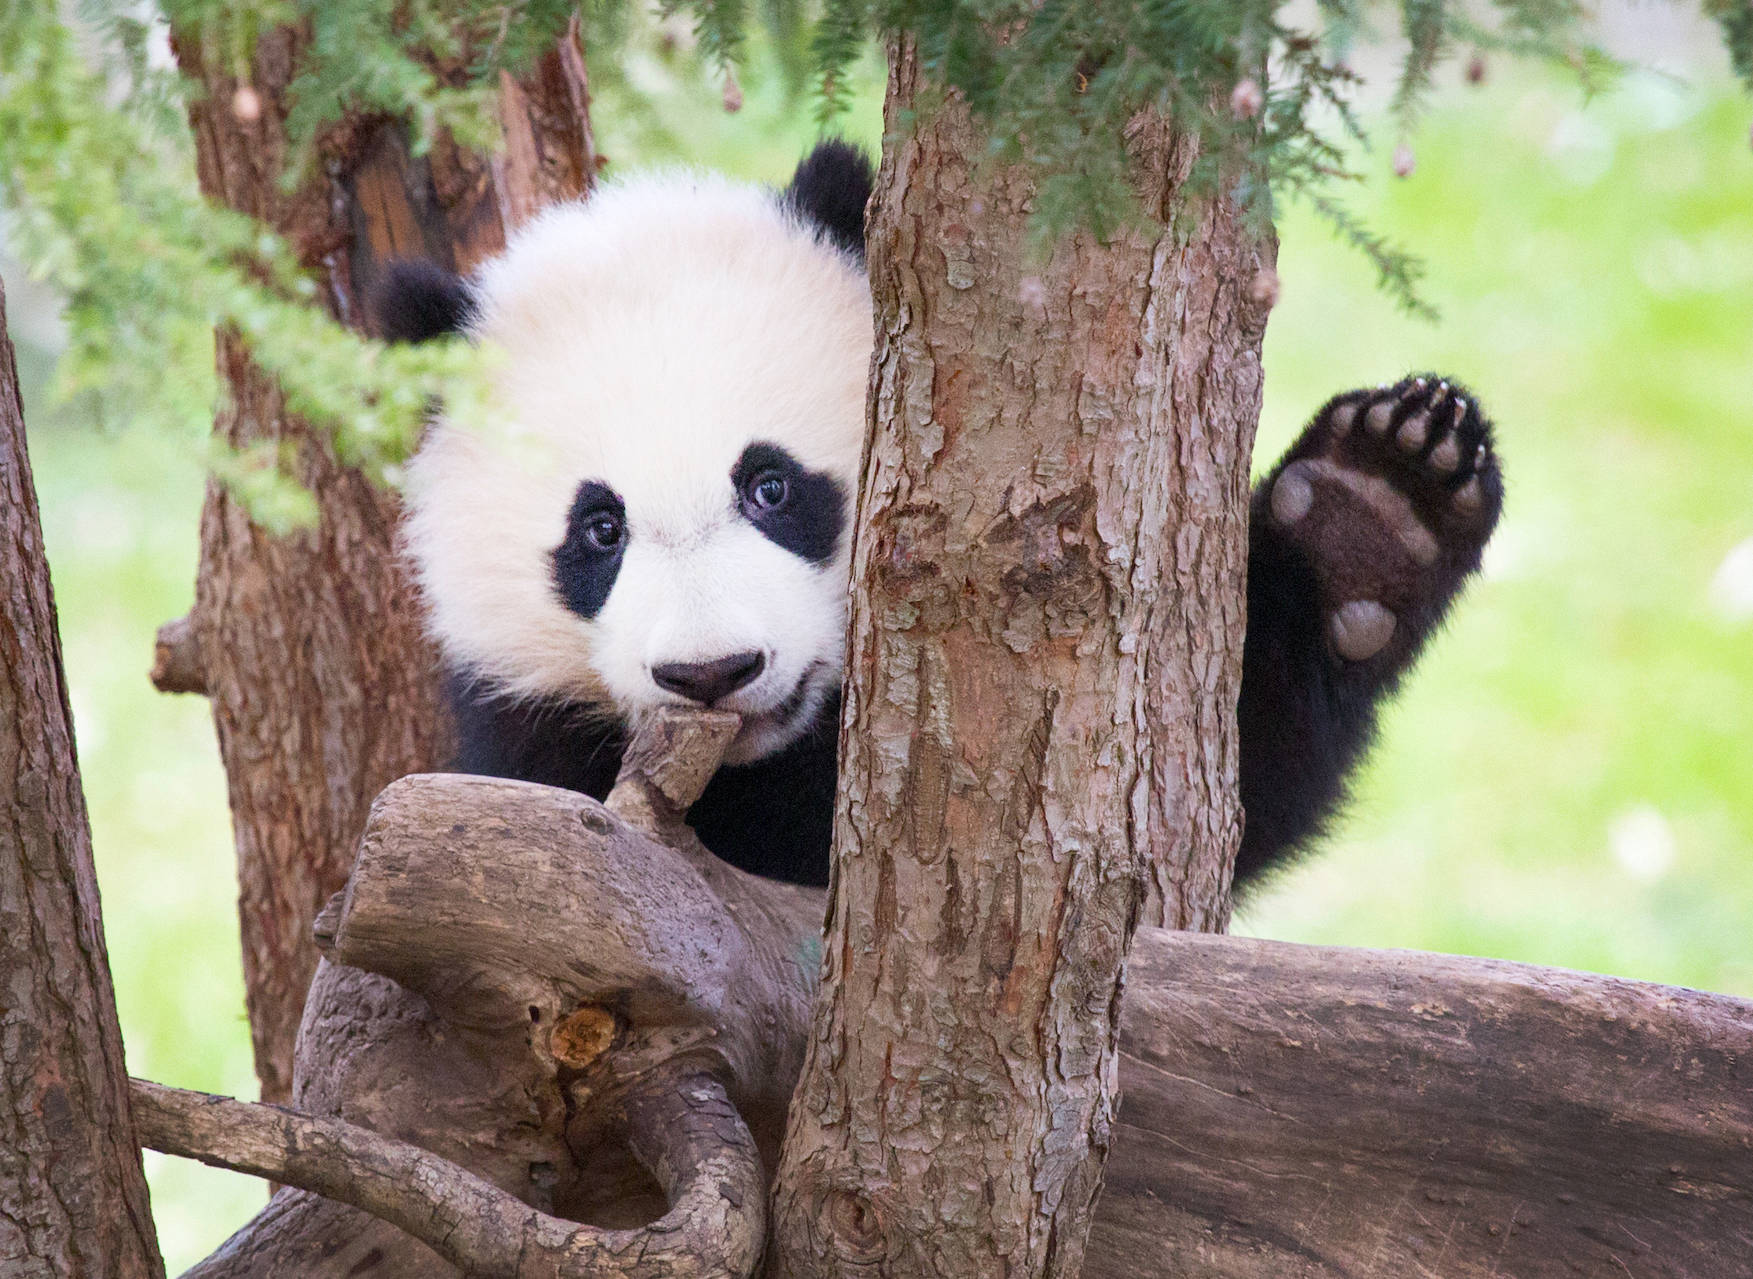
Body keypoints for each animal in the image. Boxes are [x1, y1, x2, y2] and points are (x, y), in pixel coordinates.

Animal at [376, 139, 1500, 886]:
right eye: (599, 531)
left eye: (772, 487)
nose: (712, 673)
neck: (767, 754)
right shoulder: (528, 754)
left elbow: (1228, 778)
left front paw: (1376, 498)